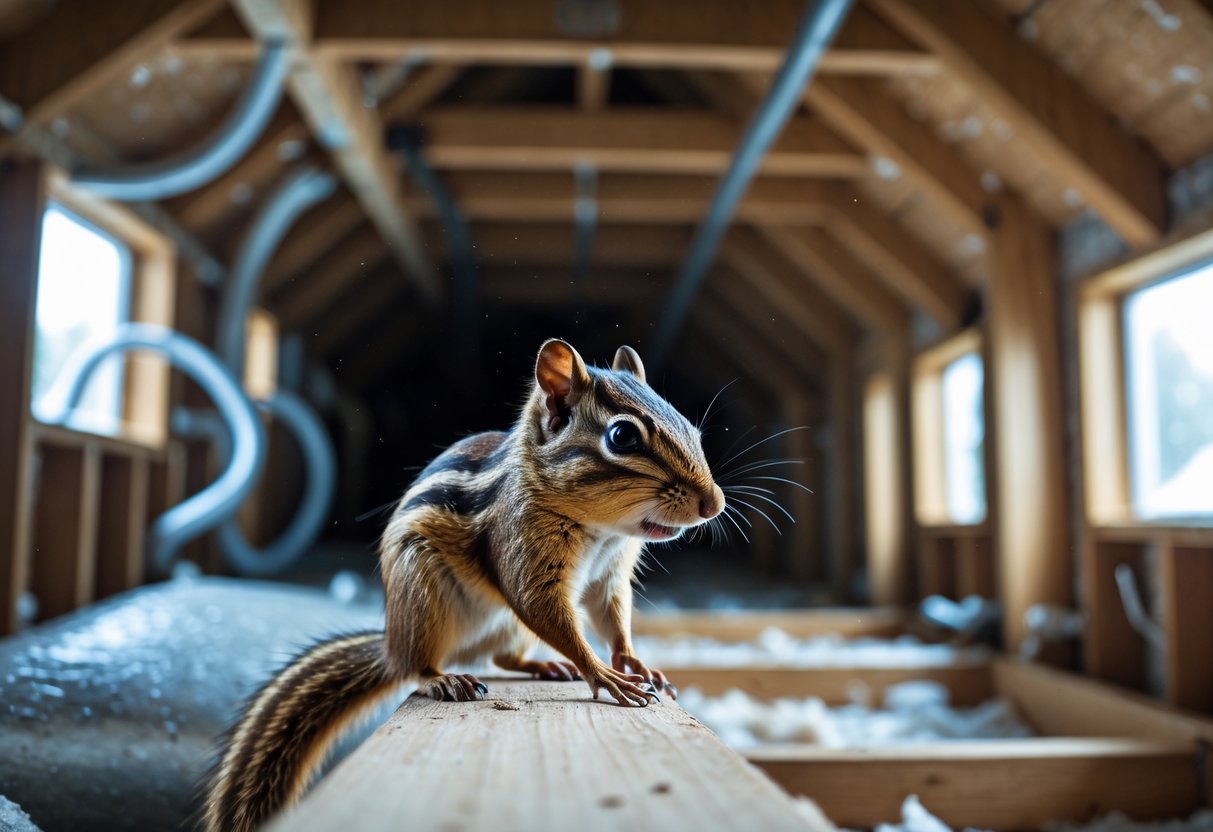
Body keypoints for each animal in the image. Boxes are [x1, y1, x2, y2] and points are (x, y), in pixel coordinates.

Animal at [203, 339, 726, 832]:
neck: (602, 530)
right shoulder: (524, 547)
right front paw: (605, 674)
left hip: (504, 626)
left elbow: (613, 617)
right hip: (421, 595)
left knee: (502, 657)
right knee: (417, 668)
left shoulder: (610, 573)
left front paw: (636, 664)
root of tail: (391, 644)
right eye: (622, 436)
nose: (713, 504)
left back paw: (544, 666)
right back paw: (445, 678)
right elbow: (544, 608)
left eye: (689, 426)